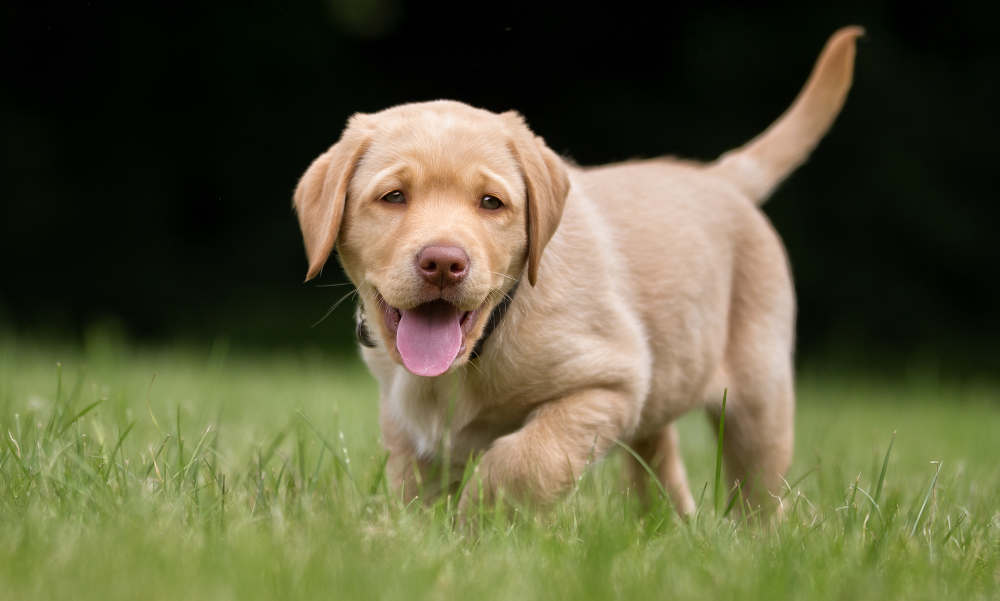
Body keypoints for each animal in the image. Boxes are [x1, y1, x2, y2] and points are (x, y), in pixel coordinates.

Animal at [292, 28, 864, 512]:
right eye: (393, 196)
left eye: (491, 203)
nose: (444, 263)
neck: (485, 342)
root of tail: (720, 177)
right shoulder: (405, 424)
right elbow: (412, 490)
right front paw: (414, 533)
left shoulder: (609, 382)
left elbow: (524, 459)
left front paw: (478, 519)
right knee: (660, 467)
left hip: (758, 395)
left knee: (759, 492)